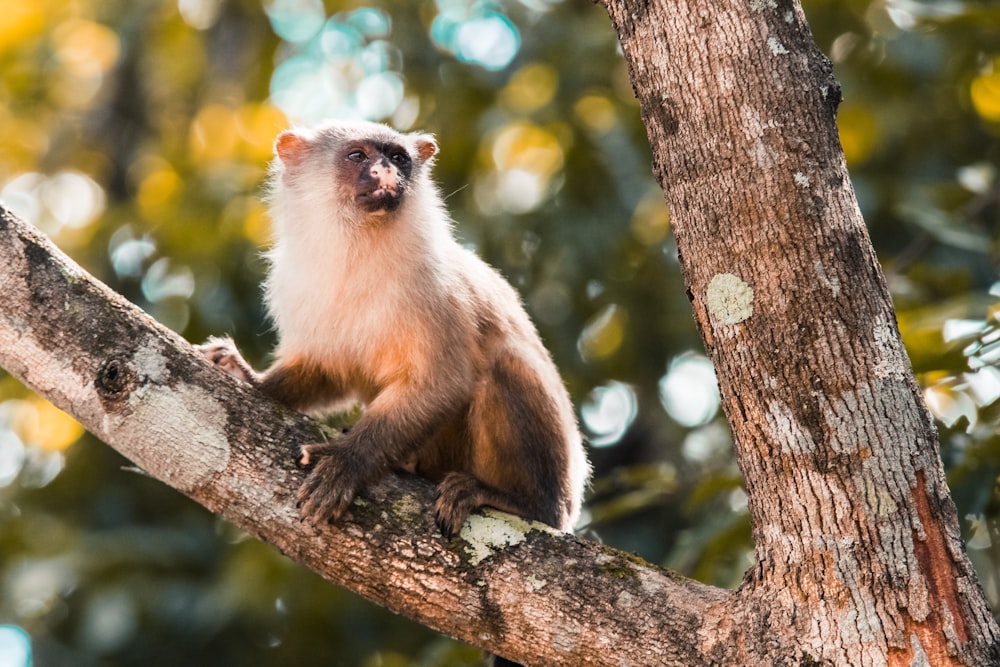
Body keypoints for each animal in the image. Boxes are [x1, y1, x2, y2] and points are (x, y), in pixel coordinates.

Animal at [201, 118, 592, 536]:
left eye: (398, 158)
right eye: (358, 156)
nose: (386, 170)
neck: (356, 251)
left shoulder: (434, 287)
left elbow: (443, 381)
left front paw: (346, 465)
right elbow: (327, 370)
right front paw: (249, 377)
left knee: (505, 364)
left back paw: (519, 500)